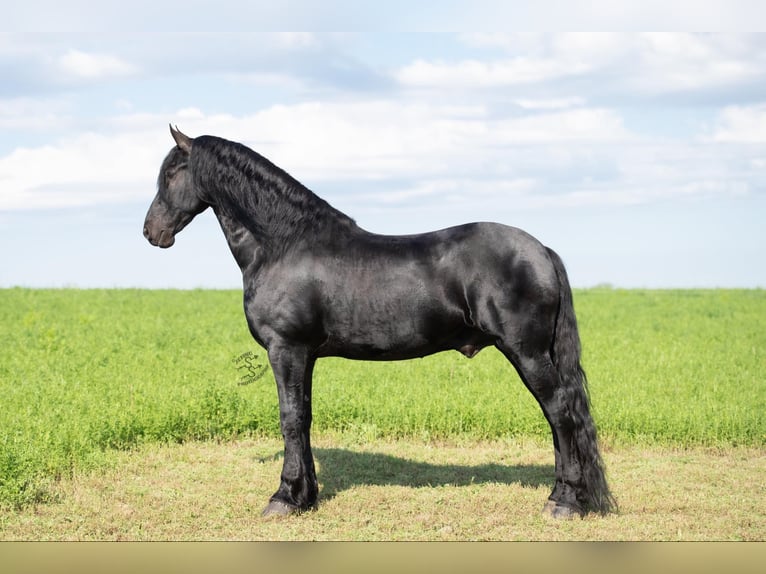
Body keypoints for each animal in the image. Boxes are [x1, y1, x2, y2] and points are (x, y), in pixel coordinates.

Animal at [141, 127, 616, 520]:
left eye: (171, 173)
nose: (151, 232)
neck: (284, 244)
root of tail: (541, 250)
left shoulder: (286, 349)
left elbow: (290, 418)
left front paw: (283, 498)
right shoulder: (305, 355)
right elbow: (305, 416)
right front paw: (306, 496)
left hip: (527, 352)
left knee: (560, 414)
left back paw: (564, 503)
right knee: (559, 419)